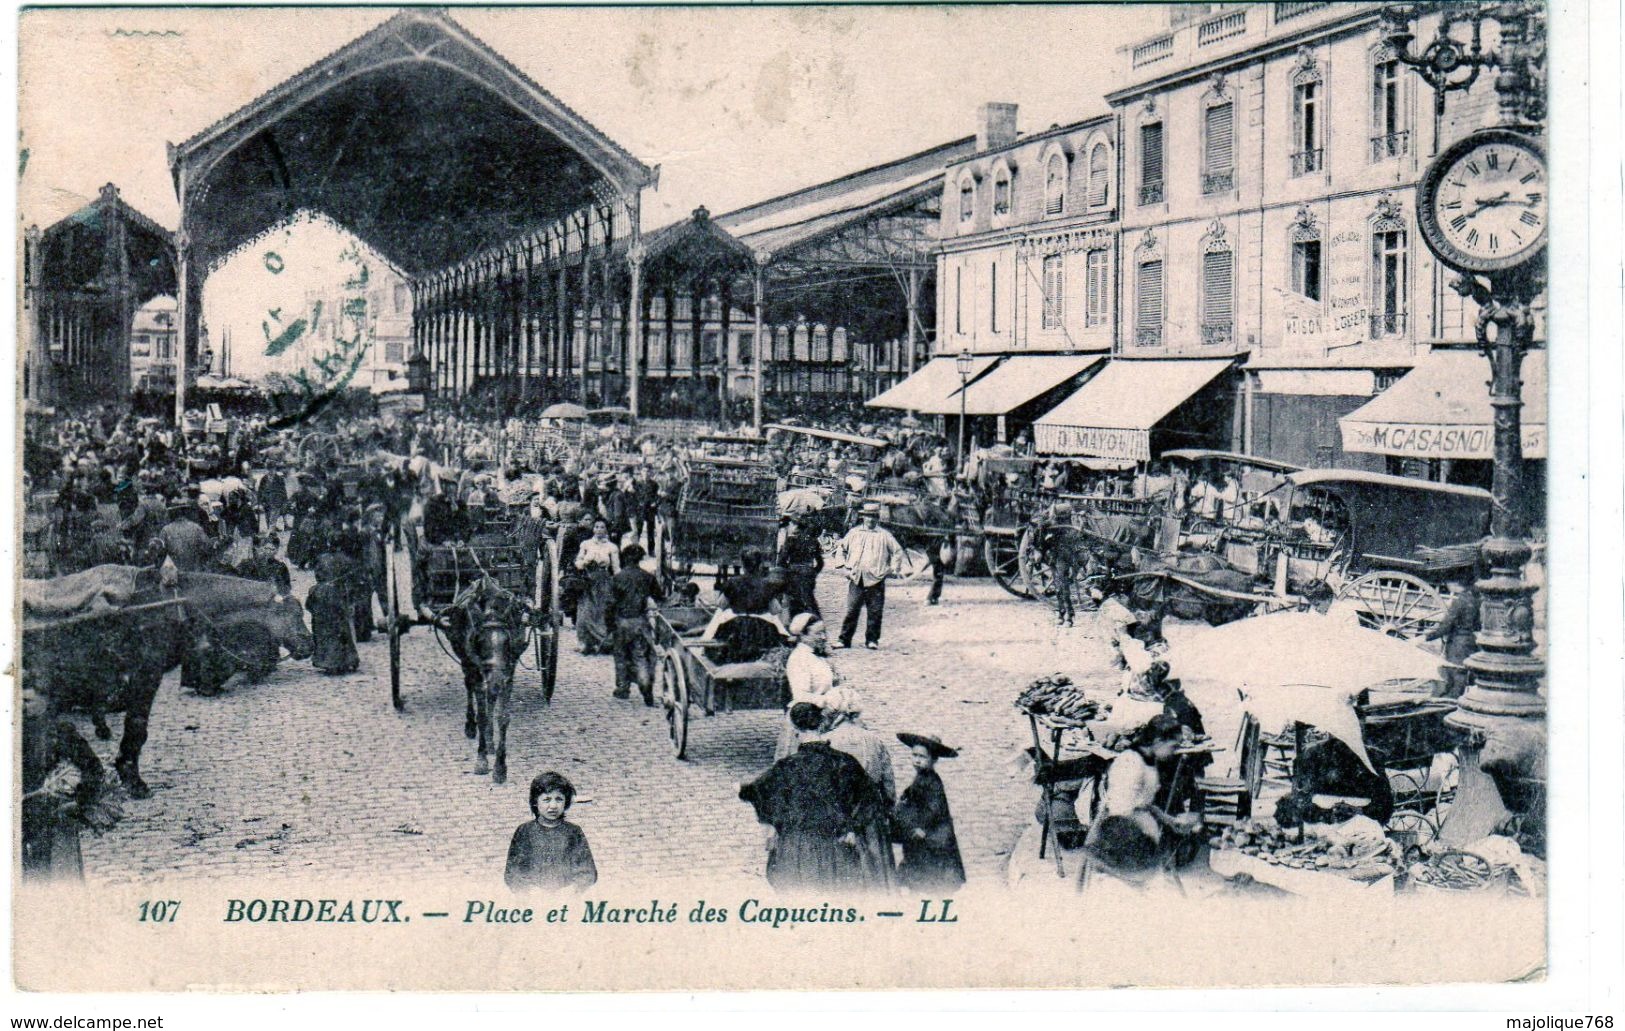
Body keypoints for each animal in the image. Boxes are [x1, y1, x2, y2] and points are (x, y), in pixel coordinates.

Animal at [438, 575, 533, 783]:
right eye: (480, 641)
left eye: (507, 641)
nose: (496, 680)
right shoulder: (476, 669)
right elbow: (481, 715)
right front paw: (481, 760)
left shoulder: (509, 672)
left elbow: (502, 716)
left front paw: (500, 767)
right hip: (467, 665)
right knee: (470, 688)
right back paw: (471, 726)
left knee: (490, 699)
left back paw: (490, 740)